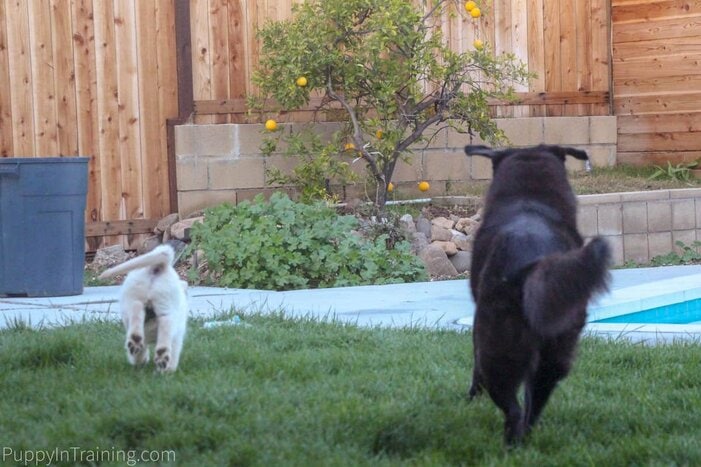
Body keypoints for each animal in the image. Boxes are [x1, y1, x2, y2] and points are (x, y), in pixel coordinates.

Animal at [464, 144, 608, 444]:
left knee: (514, 410)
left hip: (498, 348)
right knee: (532, 406)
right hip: (556, 351)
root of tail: (535, 262)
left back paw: (510, 445)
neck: (528, 198)